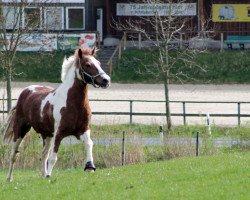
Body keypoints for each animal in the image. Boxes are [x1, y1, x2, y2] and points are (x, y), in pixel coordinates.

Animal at [2, 47, 110, 181]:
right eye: (88, 64)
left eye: (99, 63)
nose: (106, 80)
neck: (72, 104)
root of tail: (26, 91)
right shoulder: (59, 133)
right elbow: (53, 157)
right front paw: (49, 175)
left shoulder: (83, 130)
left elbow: (89, 143)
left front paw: (90, 167)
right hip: (21, 129)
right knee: (14, 154)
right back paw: (9, 178)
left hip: (46, 135)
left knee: (43, 154)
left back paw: (42, 175)